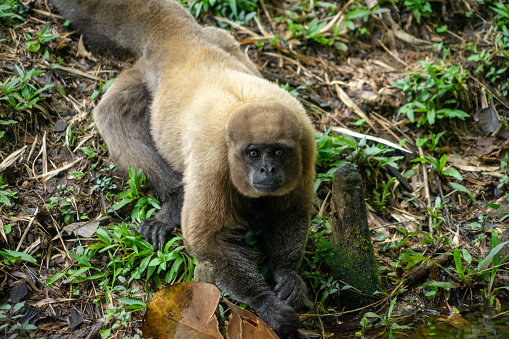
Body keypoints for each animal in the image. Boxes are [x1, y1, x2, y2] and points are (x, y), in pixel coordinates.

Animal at [49, 0, 316, 336]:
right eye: (254, 154)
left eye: (279, 152)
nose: (267, 170)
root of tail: (177, 35)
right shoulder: (213, 161)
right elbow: (208, 240)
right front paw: (267, 304)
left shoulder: (305, 144)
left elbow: (289, 214)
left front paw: (288, 275)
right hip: (148, 71)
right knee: (113, 114)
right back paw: (175, 200)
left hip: (220, 39)